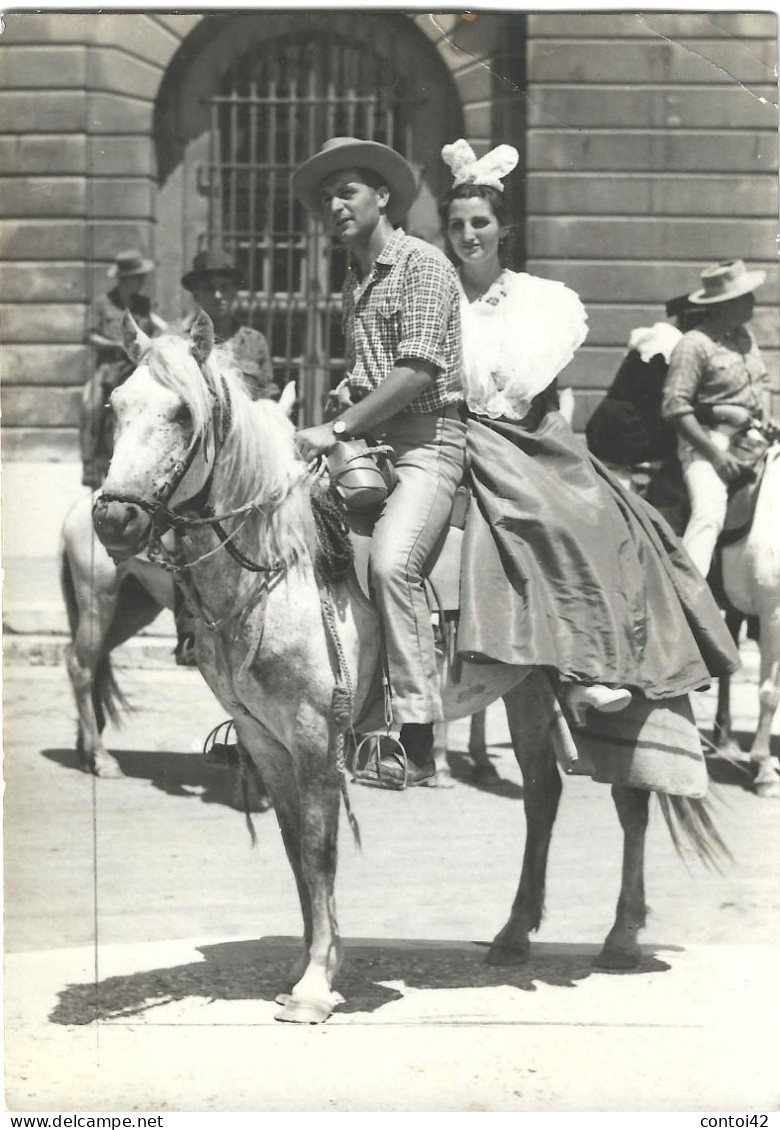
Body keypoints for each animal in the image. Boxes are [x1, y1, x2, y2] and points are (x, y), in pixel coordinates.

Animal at [92, 314, 728, 1030]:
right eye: (115, 405)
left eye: (181, 412)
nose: (113, 517)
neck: (282, 563)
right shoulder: (265, 740)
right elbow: (296, 855)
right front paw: (308, 964)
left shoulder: (315, 737)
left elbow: (320, 853)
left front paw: (315, 985)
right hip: (527, 691)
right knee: (542, 796)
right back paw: (513, 935)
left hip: (624, 695)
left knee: (631, 801)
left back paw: (620, 938)